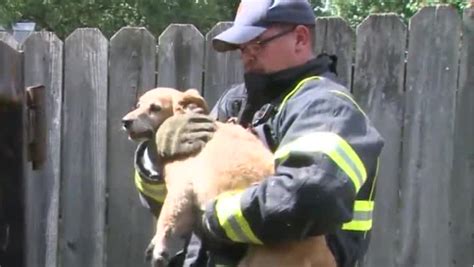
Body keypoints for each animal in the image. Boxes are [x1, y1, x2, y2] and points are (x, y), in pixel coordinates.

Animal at [122, 88, 336, 267]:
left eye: (155, 108)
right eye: (138, 104)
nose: (125, 121)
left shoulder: (181, 190)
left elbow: (166, 219)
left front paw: (159, 247)